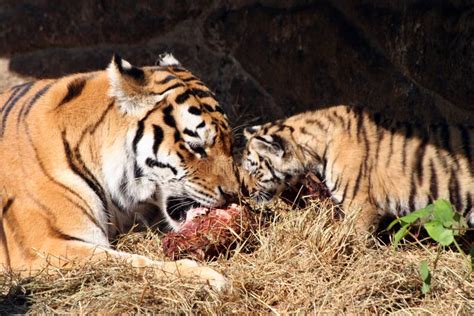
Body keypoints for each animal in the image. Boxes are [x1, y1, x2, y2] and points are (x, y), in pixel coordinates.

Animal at [0, 54, 237, 292]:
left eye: (230, 145)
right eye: (196, 147)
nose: (233, 194)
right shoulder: (42, 247)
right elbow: (130, 260)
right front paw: (207, 276)